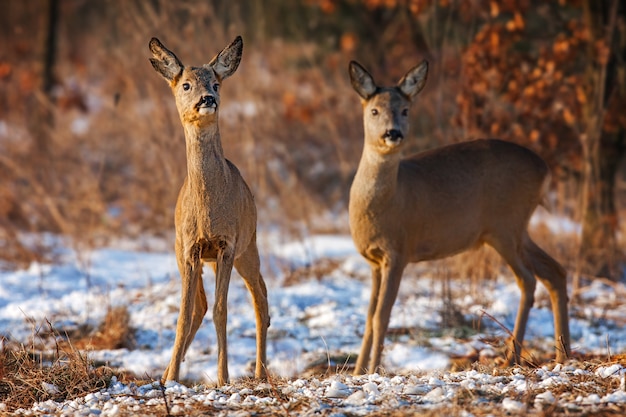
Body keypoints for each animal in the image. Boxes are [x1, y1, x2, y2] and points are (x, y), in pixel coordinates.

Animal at [151, 35, 270, 384]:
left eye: (216, 83)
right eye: (186, 84)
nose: (207, 99)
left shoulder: (227, 245)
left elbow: (222, 310)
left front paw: (223, 377)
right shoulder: (191, 248)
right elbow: (184, 313)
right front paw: (172, 378)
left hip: (249, 245)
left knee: (260, 299)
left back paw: (260, 372)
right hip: (184, 253)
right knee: (200, 307)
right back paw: (166, 372)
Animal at [346, 59, 572, 374]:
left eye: (405, 110)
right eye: (374, 110)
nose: (393, 133)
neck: (386, 202)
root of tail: (545, 170)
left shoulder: (399, 251)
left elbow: (382, 316)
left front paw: (372, 370)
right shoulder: (374, 261)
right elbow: (368, 318)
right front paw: (358, 371)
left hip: (504, 225)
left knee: (528, 279)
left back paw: (512, 357)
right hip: (516, 229)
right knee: (555, 271)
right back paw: (563, 356)